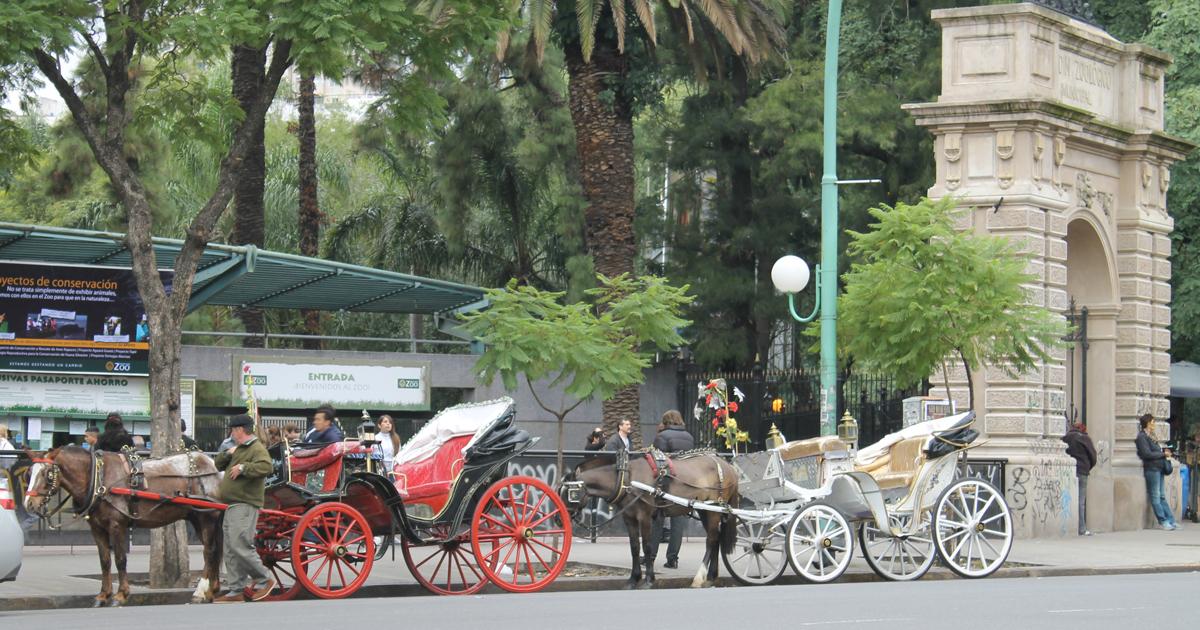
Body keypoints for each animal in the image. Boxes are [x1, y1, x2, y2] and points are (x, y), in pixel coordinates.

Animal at [23, 444, 225, 607]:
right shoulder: (97, 528)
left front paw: (120, 595)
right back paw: (212, 591)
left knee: (209, 551)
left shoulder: (116, 525)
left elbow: (120, 559)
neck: (99, 479)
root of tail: (213, 465)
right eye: (29, 473)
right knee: (214, 551)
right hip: (197, 517)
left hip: (207, 517)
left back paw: (200, 592)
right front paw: (103, 595)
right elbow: (105, 561)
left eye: (47, 474)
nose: (28, 504)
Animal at [556, 448, 734, 588]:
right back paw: (711, 577)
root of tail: (727, 465)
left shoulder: (645, 517)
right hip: (705, 510)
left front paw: (649, 579)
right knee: (716, 538)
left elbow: (647, 546)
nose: (558, 519)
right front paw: (633, 579)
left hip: (713, 509)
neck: (627, 479)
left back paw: (699, 577)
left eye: (571, 494)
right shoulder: (629, 518)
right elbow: (634, 547)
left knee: (711, 540)